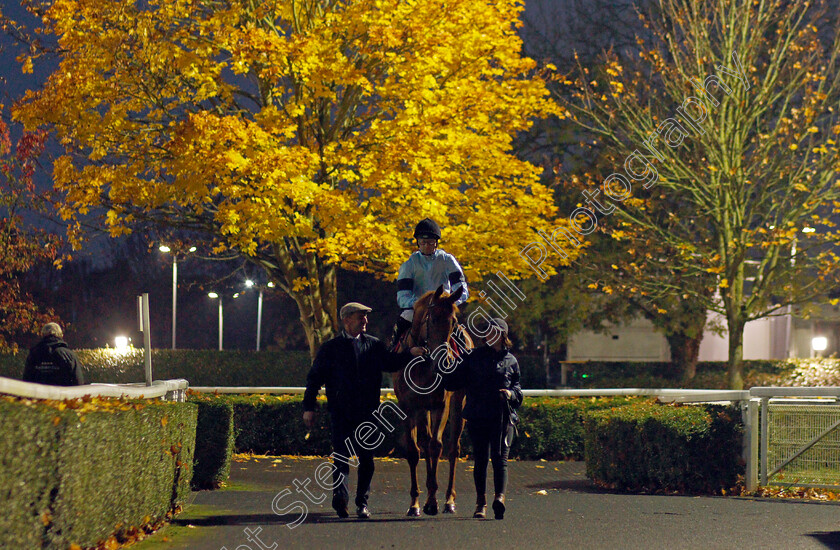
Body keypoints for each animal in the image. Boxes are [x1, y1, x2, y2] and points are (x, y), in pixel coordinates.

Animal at [390, 284, 470, 516]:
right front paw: (415, 503)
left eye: (453, 322)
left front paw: (433, 500)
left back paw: (449, 500)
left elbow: (436, 446)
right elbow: (414, 449)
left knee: (453, 448)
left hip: (459, 402)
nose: (446, 362)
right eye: (432, 319)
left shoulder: (440, 405)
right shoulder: (409, 407)